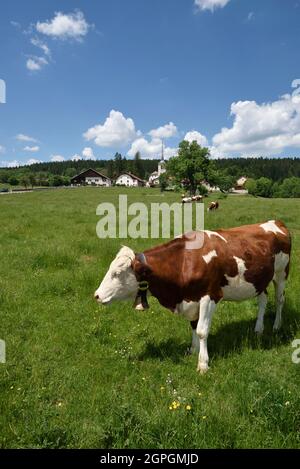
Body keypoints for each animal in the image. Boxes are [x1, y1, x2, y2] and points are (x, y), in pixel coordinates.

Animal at [94, 219, 290, 372]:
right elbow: (194, 326)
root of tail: (275, 222)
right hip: (260, 280)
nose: (96, 295)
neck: (184, 262)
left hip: (281, 273)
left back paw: (277, 325)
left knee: (279, 300)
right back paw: (258, 328)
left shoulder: (209, 296)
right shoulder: (191, 299)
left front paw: (203, 364)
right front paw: (193, 350)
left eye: (117, 273)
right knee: (263, 299)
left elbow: (202, 330)